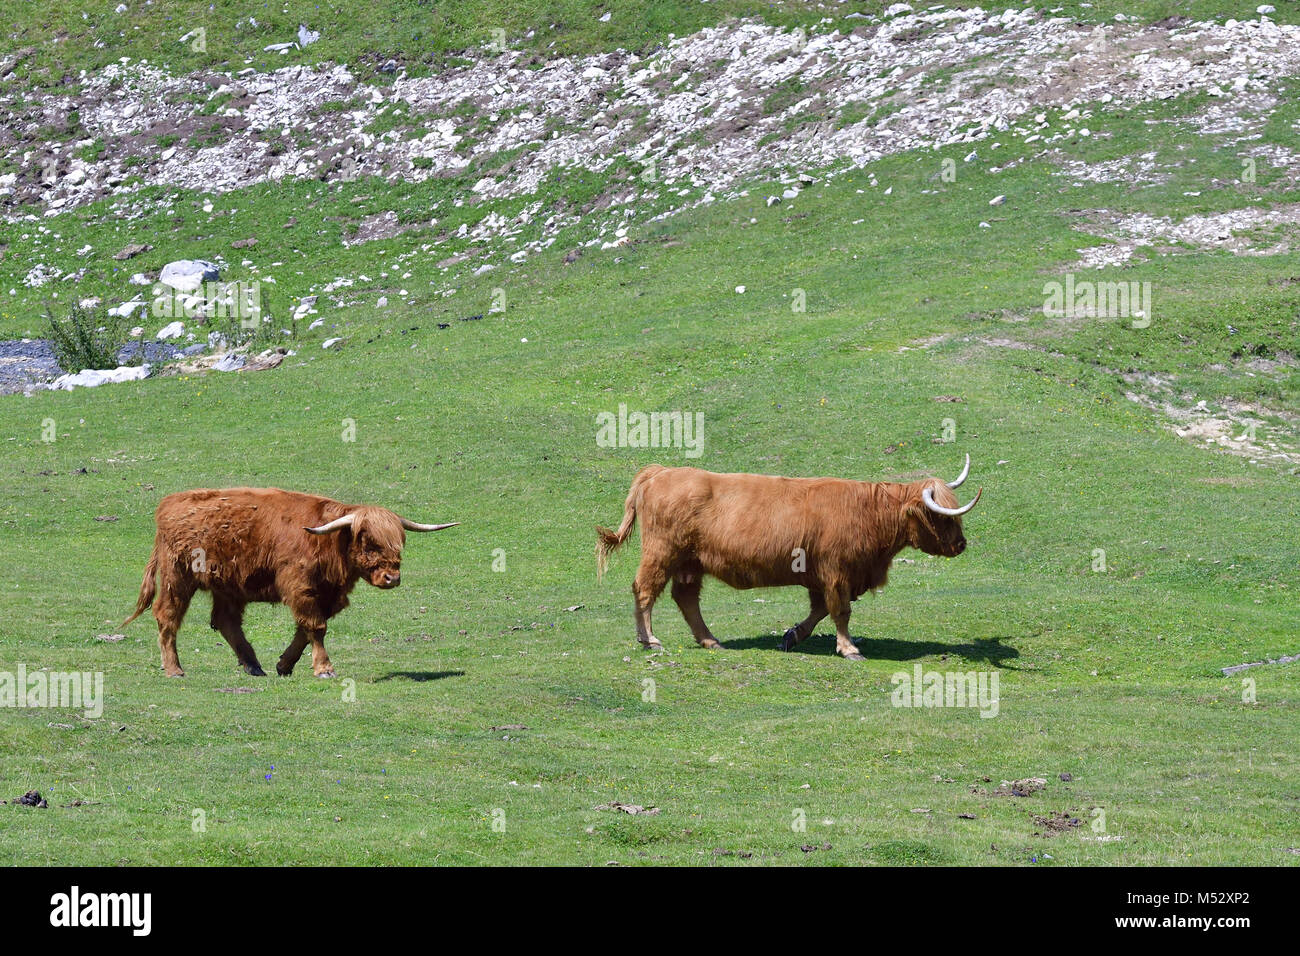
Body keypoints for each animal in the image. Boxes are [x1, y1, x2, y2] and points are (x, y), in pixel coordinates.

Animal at [123, 488, 457, 678]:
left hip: (228, 586)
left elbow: (306, 630)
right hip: (177, 577)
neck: (330, 542)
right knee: (168, 616)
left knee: (226, 621)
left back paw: (253, 666)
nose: (392, 578)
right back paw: (174, 669)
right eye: (368, 542)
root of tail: (168, 505)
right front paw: (324, 669)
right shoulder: (300, 588)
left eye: (398, 543)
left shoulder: (325, 595)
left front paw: (284, 665)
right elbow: (315, 627)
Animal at [596, 456, 981, 660]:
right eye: (943, 517)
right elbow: (841, 611)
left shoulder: (821, 576)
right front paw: (849, 648)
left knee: (686, 598)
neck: (869, 512)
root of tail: (661, 471)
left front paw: (792, 636)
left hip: (690, 563)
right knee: (645, 590)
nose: (961, 544)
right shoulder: (837, 572)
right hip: (662, 553)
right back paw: (650, 639)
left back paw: (710, 640)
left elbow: (820, 610)